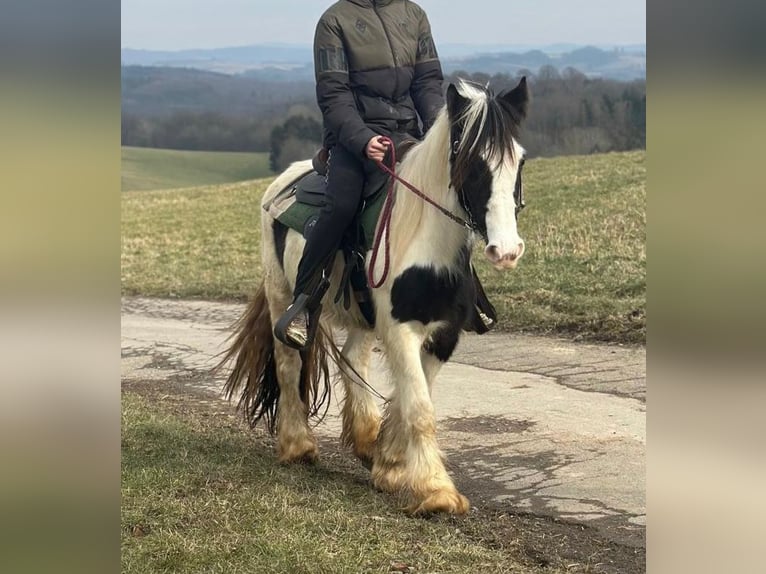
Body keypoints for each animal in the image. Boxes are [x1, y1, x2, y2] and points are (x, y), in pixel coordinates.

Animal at [219, 77, 532, 516]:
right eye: (472, 163)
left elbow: (408, 400)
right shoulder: (401, 329)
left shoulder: (444, 336)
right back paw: (297, 445)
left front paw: (391, 466)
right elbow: (419, 408)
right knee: (287, 363)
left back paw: (366, 440)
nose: (506, 251)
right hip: (282, 294)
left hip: (363, 317)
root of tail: (285, 180)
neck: (424, 243)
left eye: (519, 161)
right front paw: (435, 490)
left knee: (353, 360)